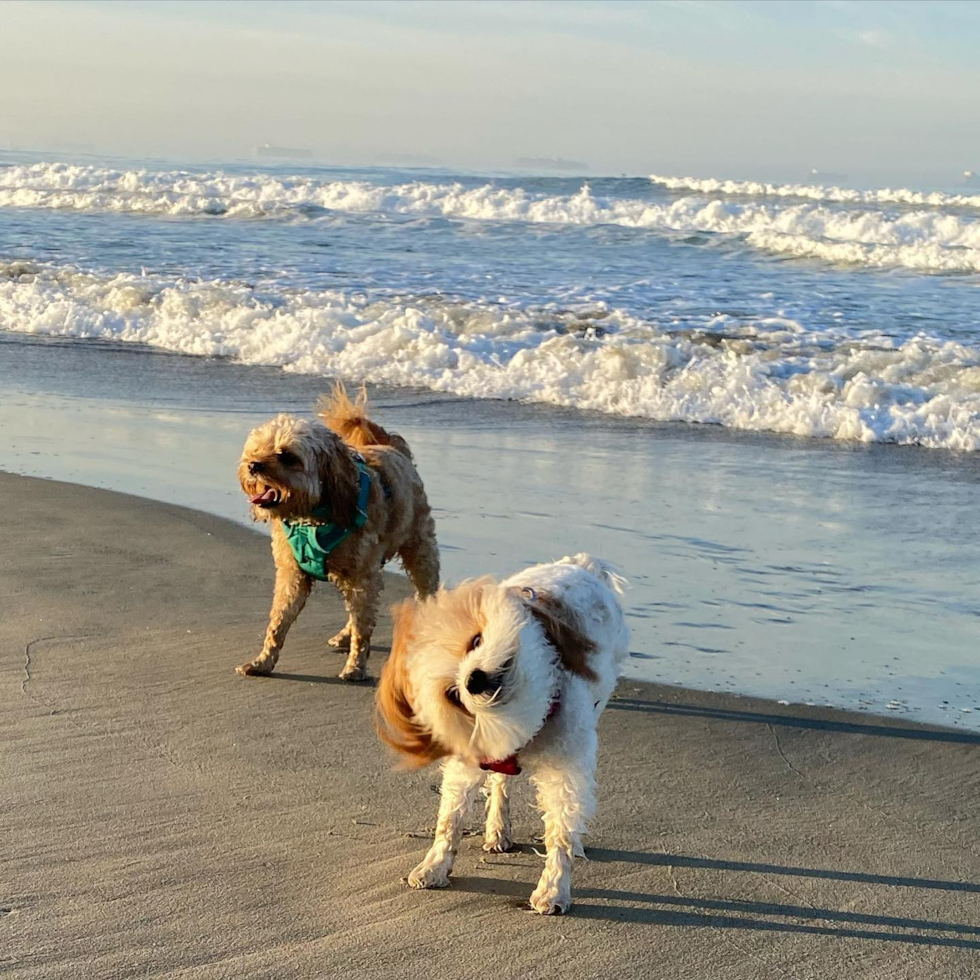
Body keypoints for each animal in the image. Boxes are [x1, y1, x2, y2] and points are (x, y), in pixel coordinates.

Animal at [376, 556, 628, 916]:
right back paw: (497, 829)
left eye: (476, 641)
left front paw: (553, 889)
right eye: (453, 695)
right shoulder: (469, 759)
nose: (474, 679)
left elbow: (561, 829)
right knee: (499, 784)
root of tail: (579, 564)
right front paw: (435, 865)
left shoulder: (564, 766)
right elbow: (450, 818)